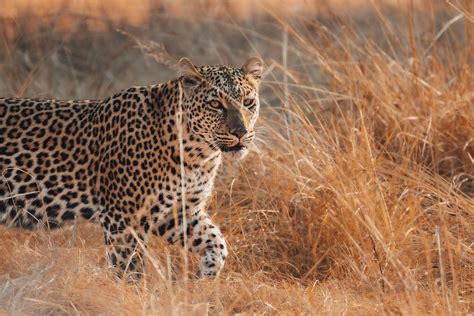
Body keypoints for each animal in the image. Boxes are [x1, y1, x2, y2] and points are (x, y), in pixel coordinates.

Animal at [0, 56, 262, 278]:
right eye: (215, 104)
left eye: (248, 102)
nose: (241, 132)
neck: (197, 154)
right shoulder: (124, 219)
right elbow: (129, 269)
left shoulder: (179, 213)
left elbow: (218, 244)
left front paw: (204, 276)